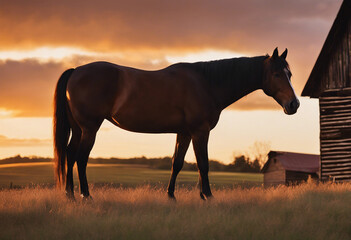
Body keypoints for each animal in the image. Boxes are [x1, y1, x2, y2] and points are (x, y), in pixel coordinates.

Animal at [53, 47, 302, 201]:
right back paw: (86, 195)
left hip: (78, 129)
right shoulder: (200, 131)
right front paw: (208, 196)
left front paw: (172, 195)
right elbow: (203, 164)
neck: (206, 83)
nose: (294, 104)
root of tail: (76, 71)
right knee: (81, 158)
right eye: (277, 74)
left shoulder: (184, 132)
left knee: (69, 154)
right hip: (90, 128)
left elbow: (177, 163)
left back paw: (70, 194)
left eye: (290, 73)